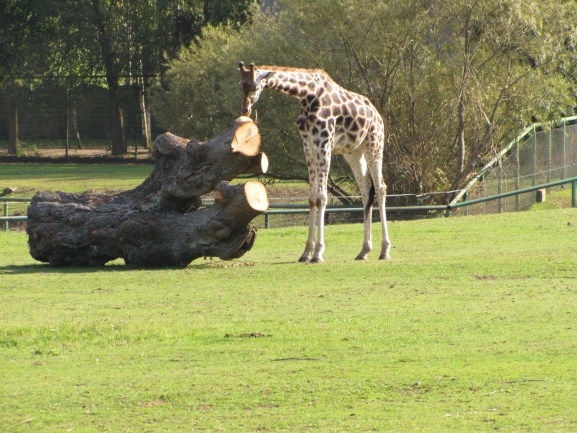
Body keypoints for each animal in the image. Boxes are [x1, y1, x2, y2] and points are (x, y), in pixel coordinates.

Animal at [238, 62, 392, 262]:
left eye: (256, 87)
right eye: (240, 86)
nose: (245, 110)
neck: (307, 96)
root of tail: (377, 114)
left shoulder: (323, 142)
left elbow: (322, 197)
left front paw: (318, 253)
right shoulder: (308, 144)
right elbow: (312, 198)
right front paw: (306, 253)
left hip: (374, 144)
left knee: (380, 188)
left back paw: (385, 250)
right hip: (353, 152)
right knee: (366, 190)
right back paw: (364, 251)